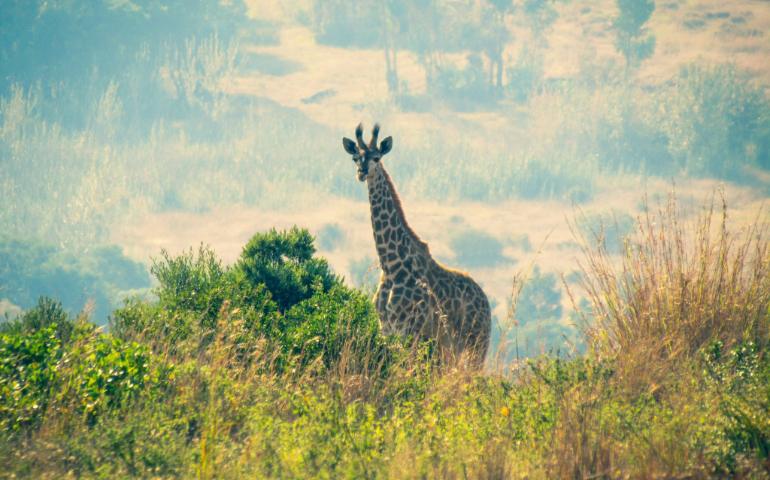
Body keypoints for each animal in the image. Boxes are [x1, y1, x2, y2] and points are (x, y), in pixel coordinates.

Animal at [342, 123, 491, 368]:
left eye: (376, 157)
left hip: (476, 344)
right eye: (355, 157)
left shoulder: (410, 330)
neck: (391, 266)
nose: (361, 172)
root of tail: (486, 304)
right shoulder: (386, 329)